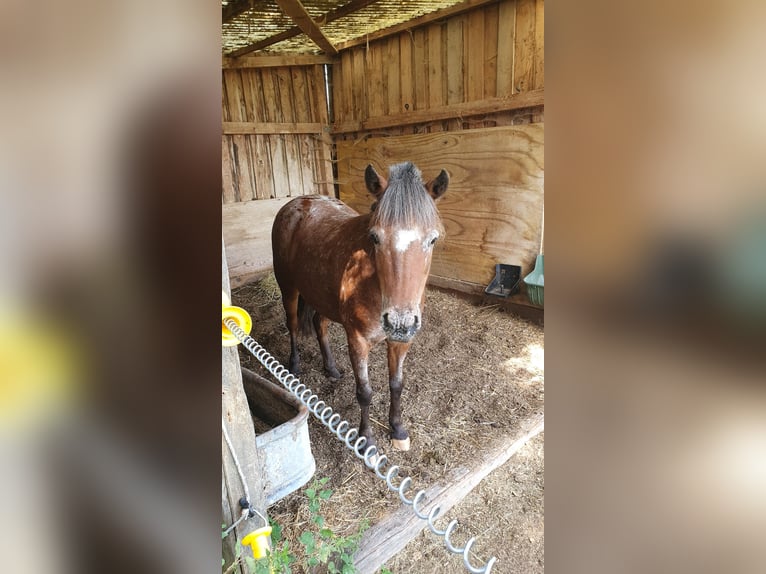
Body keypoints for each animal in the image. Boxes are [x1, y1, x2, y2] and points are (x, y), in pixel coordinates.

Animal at [272, 162, 450, 454]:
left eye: (432, 240)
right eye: (375, 237)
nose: (399, 322)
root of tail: (296, 203)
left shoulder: (401, 341)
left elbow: (396, 385)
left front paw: (398, 430)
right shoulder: (357, 340)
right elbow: (364, 393)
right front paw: (367, 439)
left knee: (320, 326)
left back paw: (331, 368)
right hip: (289, 288)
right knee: (293, 324)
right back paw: (294, 365)